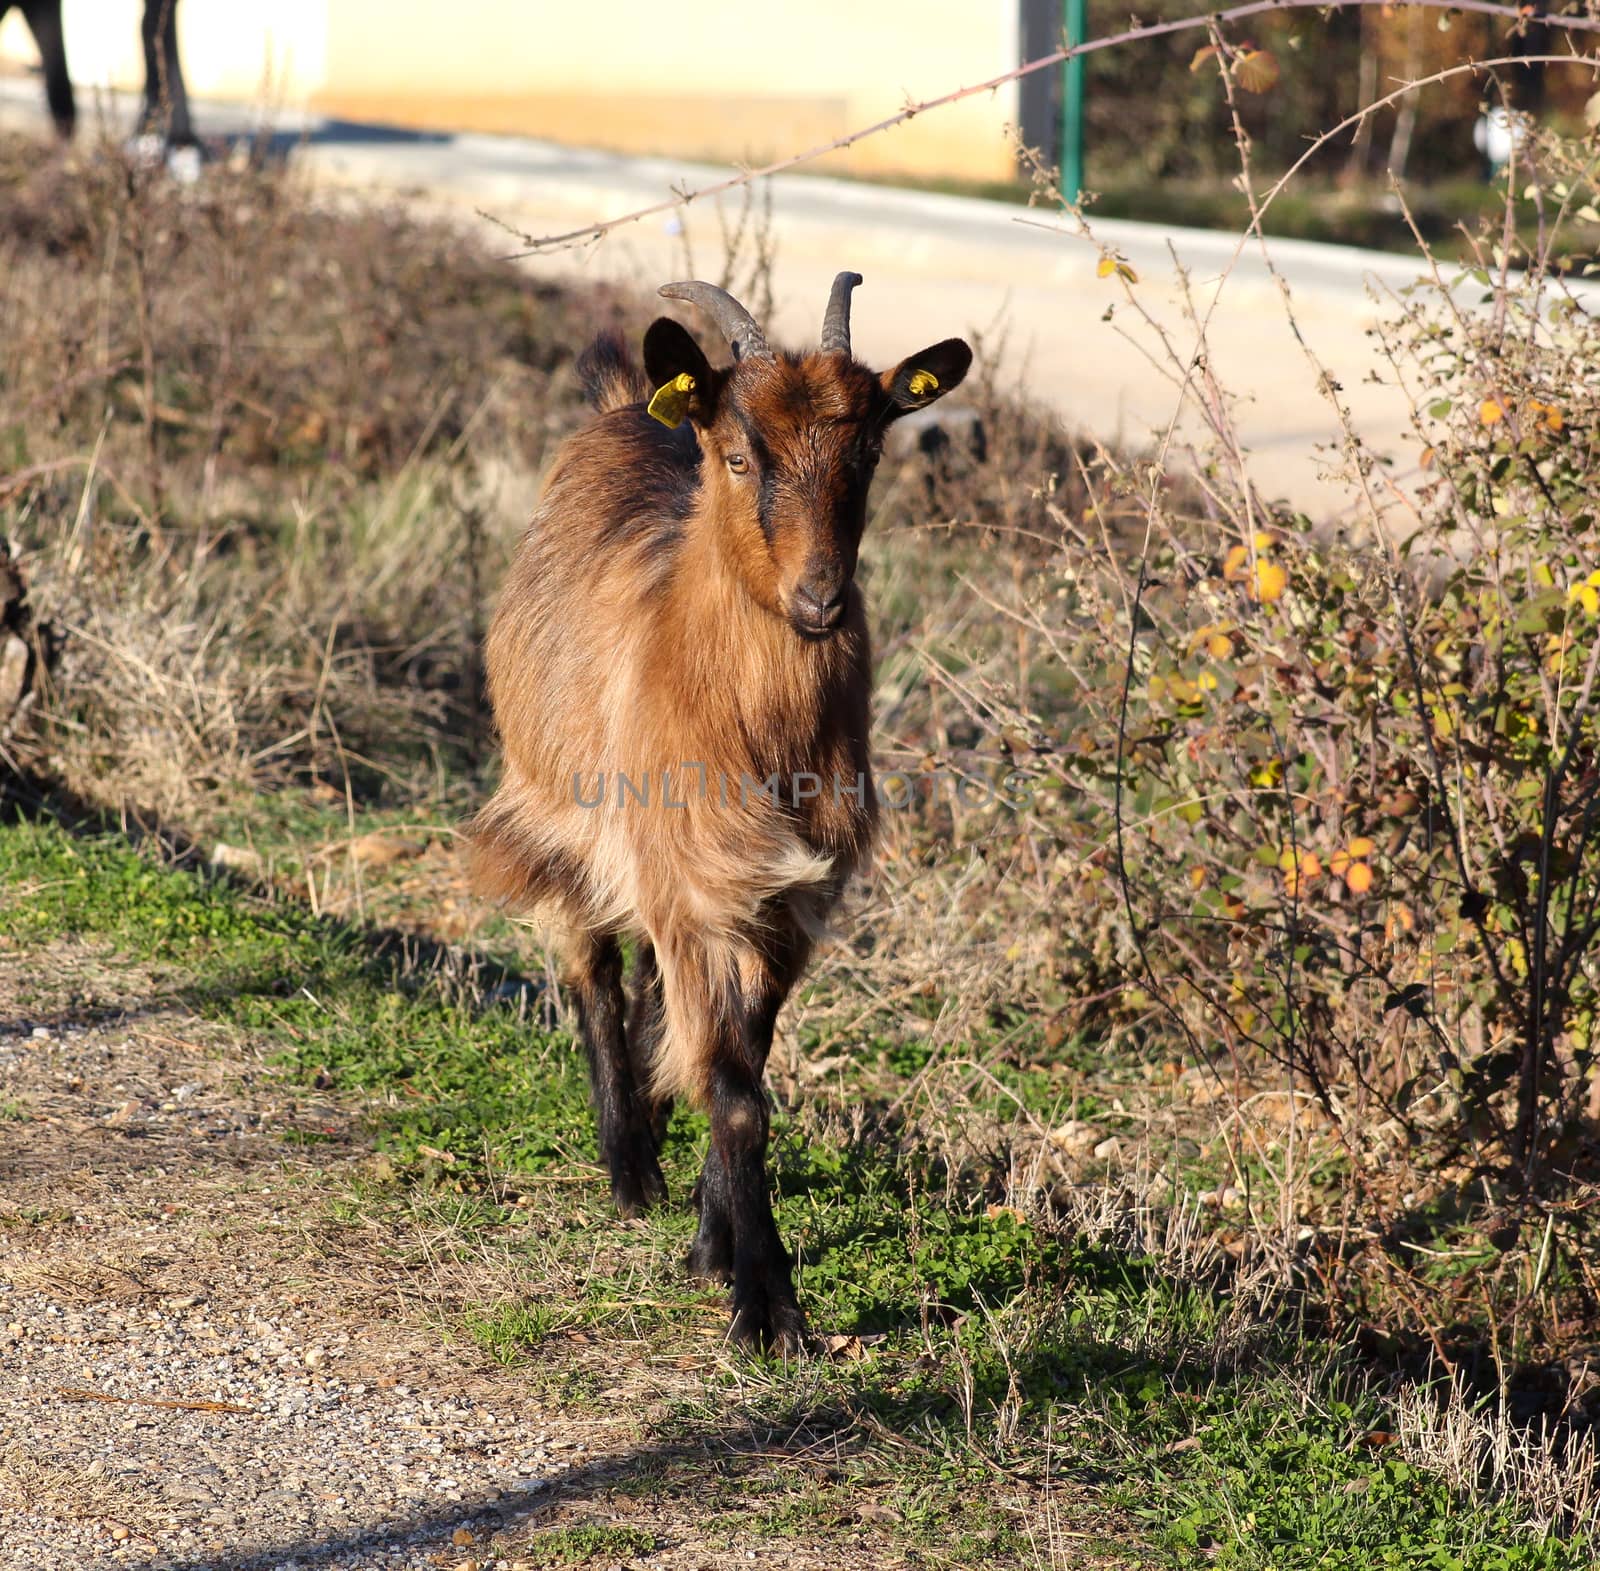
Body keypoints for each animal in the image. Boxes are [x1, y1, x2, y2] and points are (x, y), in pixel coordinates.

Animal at [467, 273, 966, 1350]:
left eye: (870, 450)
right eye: (740, 454)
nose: (819, 599)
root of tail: (632, 405)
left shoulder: (782, 902)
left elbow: (744, 1063)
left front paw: (715, 1244)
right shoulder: (695, 884)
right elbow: (736, 1092)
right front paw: (764, 1300)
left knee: (660, 999)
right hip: (558, 808)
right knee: (592, 964)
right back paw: (629, 1162)